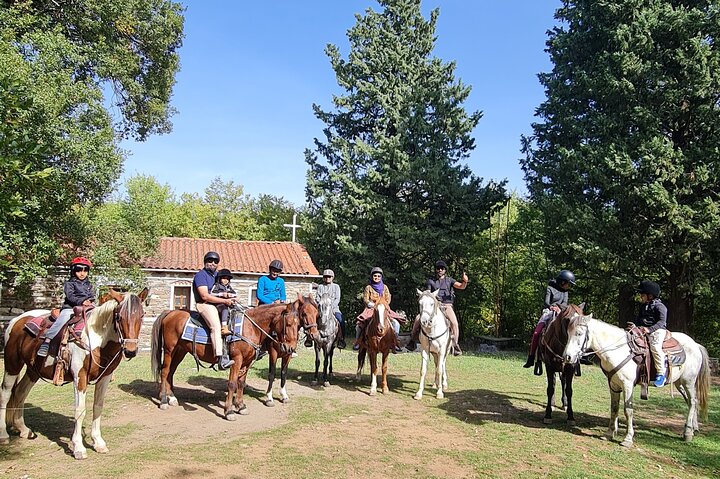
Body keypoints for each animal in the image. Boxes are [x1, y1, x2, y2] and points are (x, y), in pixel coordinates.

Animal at [0, 288, 148, 459]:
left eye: (141, 315)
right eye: (119, 316)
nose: (130, 351)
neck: (96, 339)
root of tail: (16, 320)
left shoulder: (105, 377)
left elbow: (98, 406)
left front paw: (98, 443)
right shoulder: (80, 377)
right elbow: (80, 410)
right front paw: (78, 447)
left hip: (33, 371)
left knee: (20, 392)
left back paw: (24, 430)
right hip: (13, 364)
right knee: (5, 394)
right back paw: (3, 435)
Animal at [151, 294, 318, 419]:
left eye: (316, 314)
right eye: (289, 323)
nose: (290, 348)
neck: (250, 327)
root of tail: (170, 313)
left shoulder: (248, 362)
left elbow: (241, 383)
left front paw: (241, 406)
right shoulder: (238, 360)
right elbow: (232, 383)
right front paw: (229, 410)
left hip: (180, 351)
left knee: (170, 372)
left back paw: (172, 398)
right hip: (169, 350)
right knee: (164, 371)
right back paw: (163, 400)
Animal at [562, 313, 710, 447]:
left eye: (579, 333)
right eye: (568, 333)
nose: (567, 357)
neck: (618, 350)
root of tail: (696, 345)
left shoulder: (627, 385)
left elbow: (628, 410)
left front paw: (628, 439)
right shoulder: (613, 385)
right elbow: (614, 408)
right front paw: (609, 433)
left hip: (688, 381)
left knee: (692, 401)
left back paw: (688, 433)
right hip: (679, 383)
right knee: (691, 401)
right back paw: (693, 428)